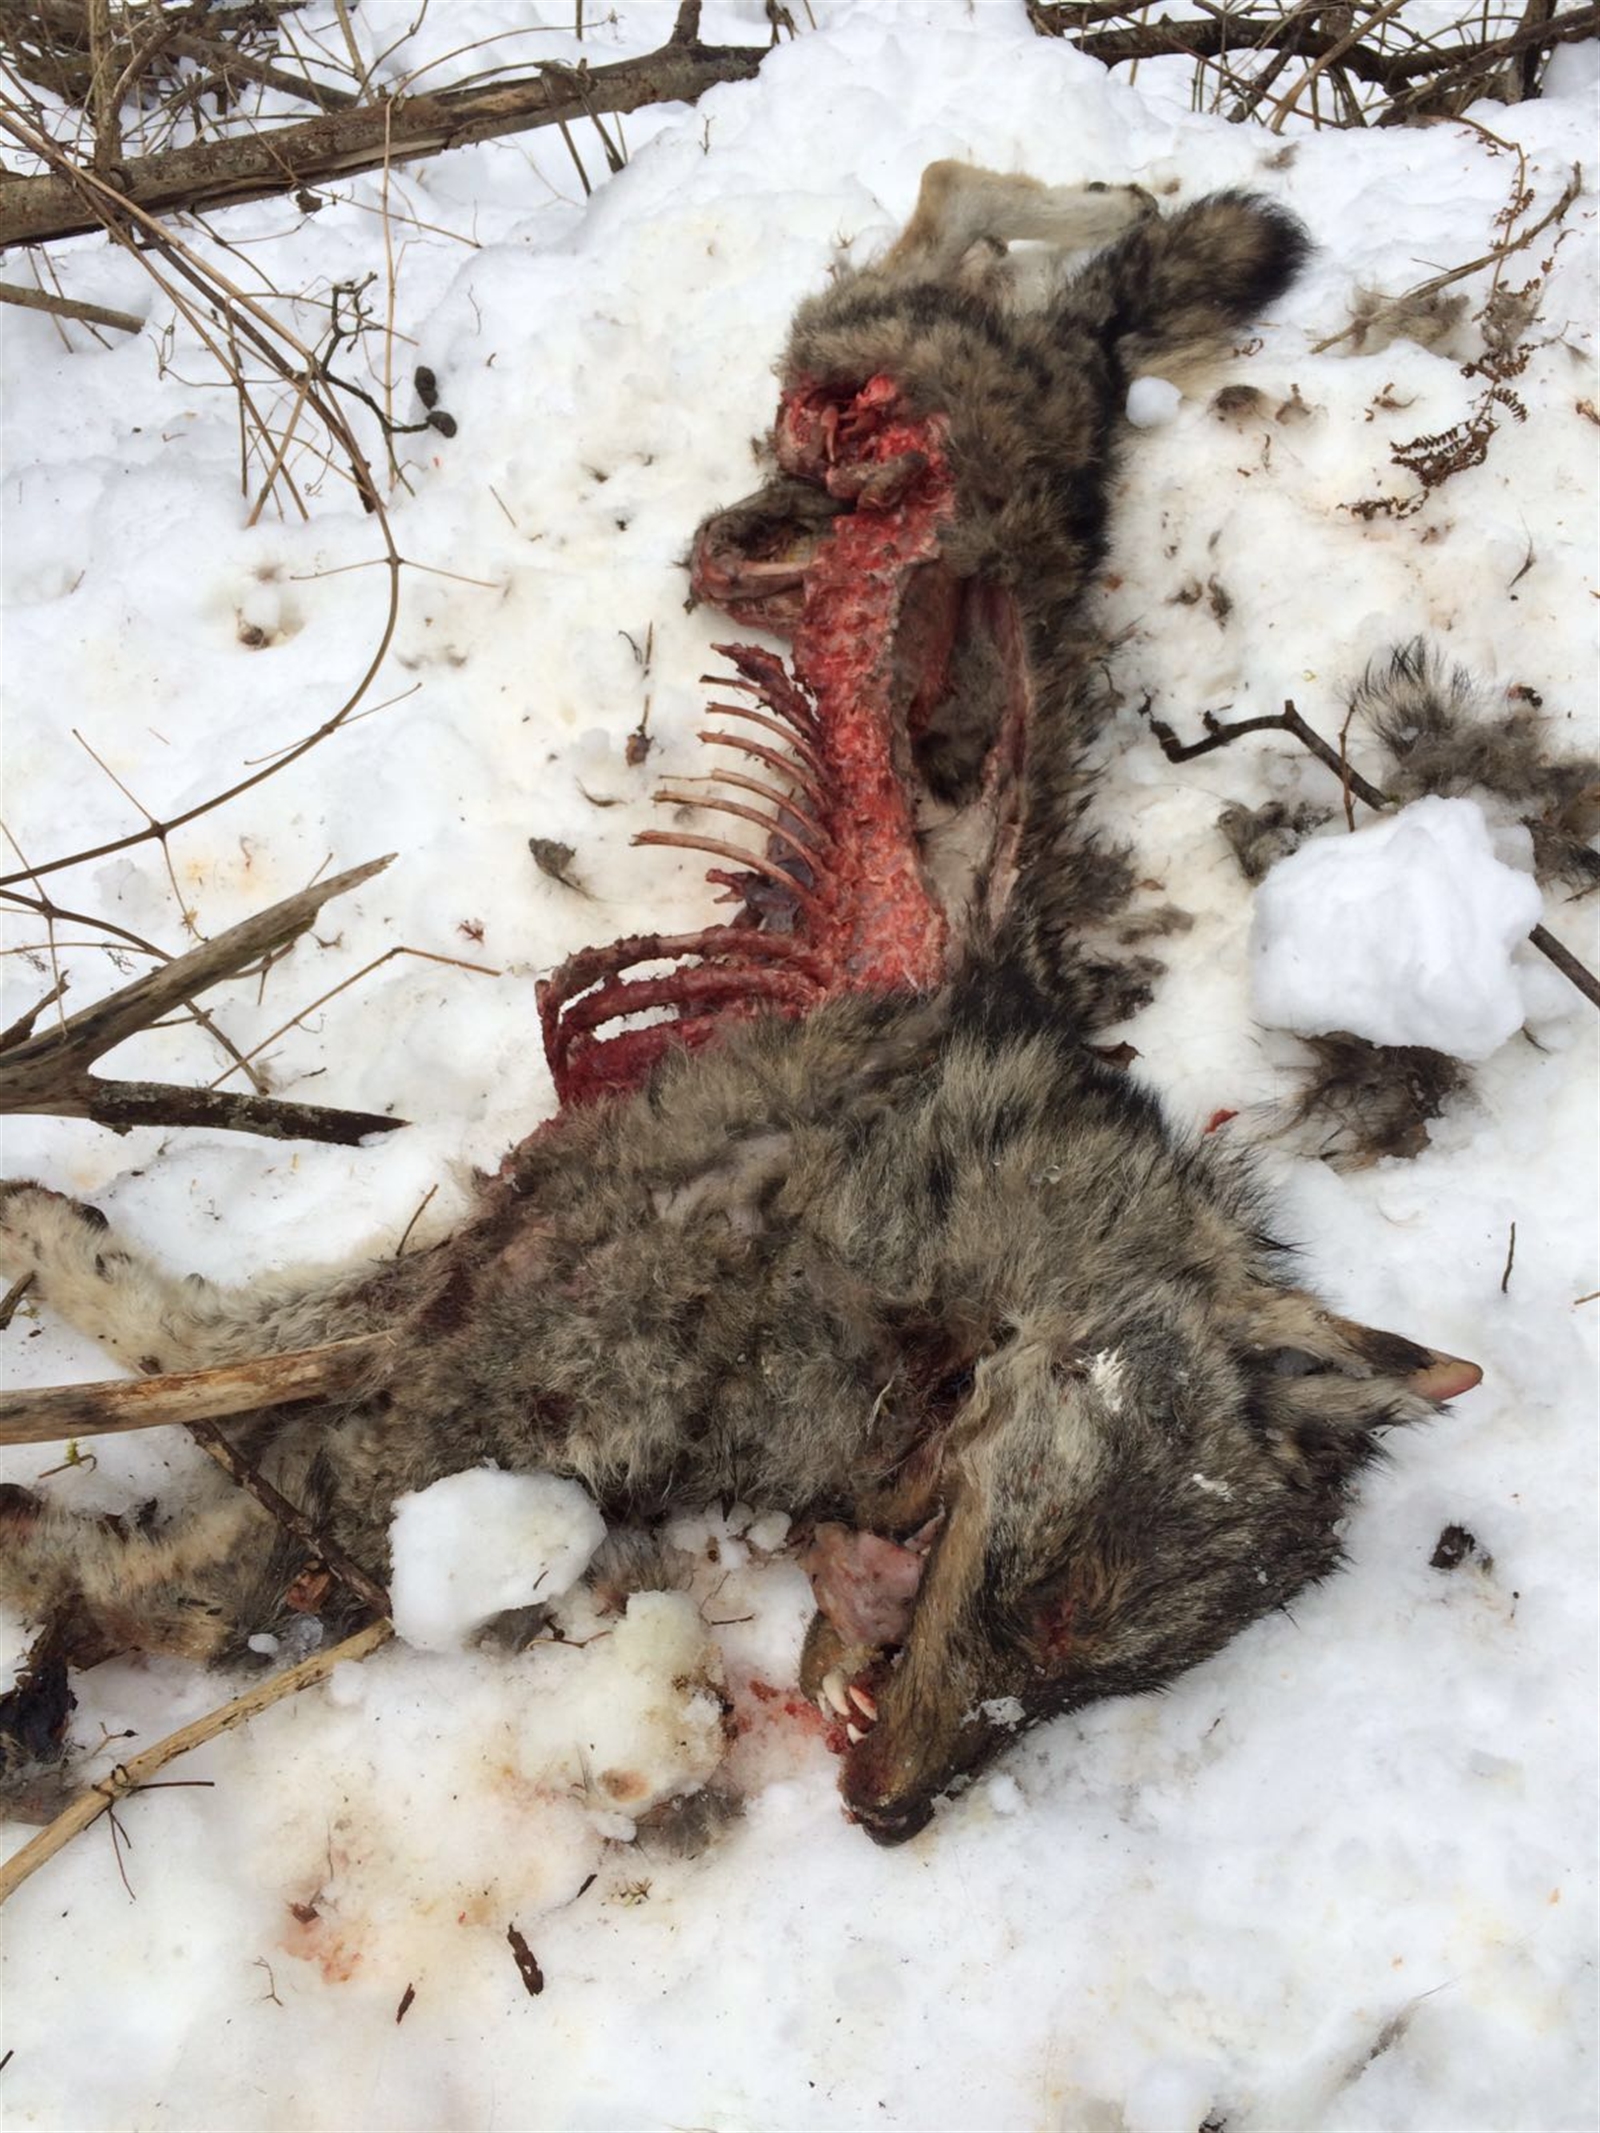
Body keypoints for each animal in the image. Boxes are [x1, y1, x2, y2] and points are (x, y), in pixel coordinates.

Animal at [0, 164, 1479, 1845]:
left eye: (1110, 1681)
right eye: (1057, 1614)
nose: (895, 1815)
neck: (955, 1307)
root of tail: (1061, 402)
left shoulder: (460, 1352)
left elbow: (193, 1483)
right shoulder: (488, 1324)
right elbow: (190, 1406)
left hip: (841, 436)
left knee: (956, 251)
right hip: (881, 389)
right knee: (954, 222)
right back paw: (1095, 202)